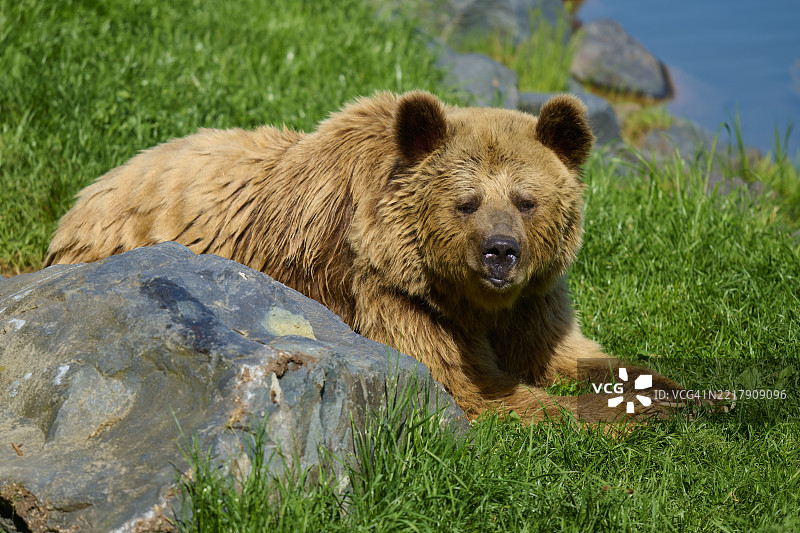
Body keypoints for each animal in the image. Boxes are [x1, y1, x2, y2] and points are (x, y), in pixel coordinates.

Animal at [45, 90, 686, 422]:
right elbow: (473, 389)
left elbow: (567, 353)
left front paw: (665, 389)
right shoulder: (391, 299)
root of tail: (86, 195)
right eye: (467, 202)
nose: (499, 253)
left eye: (527, 201)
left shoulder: (533, 300)